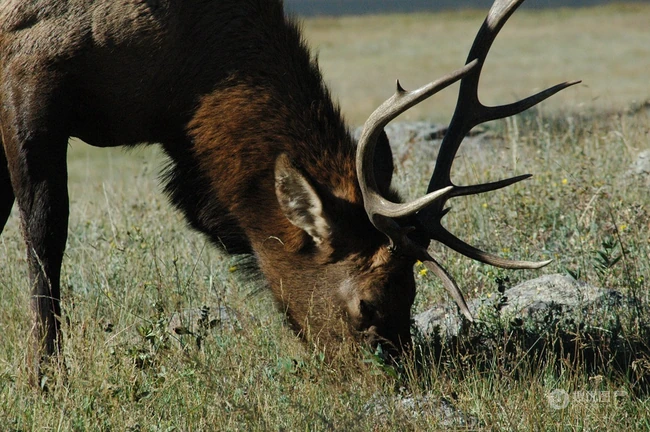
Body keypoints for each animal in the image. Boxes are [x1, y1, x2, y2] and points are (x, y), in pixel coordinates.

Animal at [0, 0, 578, 381]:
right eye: (368, 304)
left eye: (413, 296)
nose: (397, 382)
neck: (179, 89)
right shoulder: (29, 69)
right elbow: (45, 234)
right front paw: (45, 377)